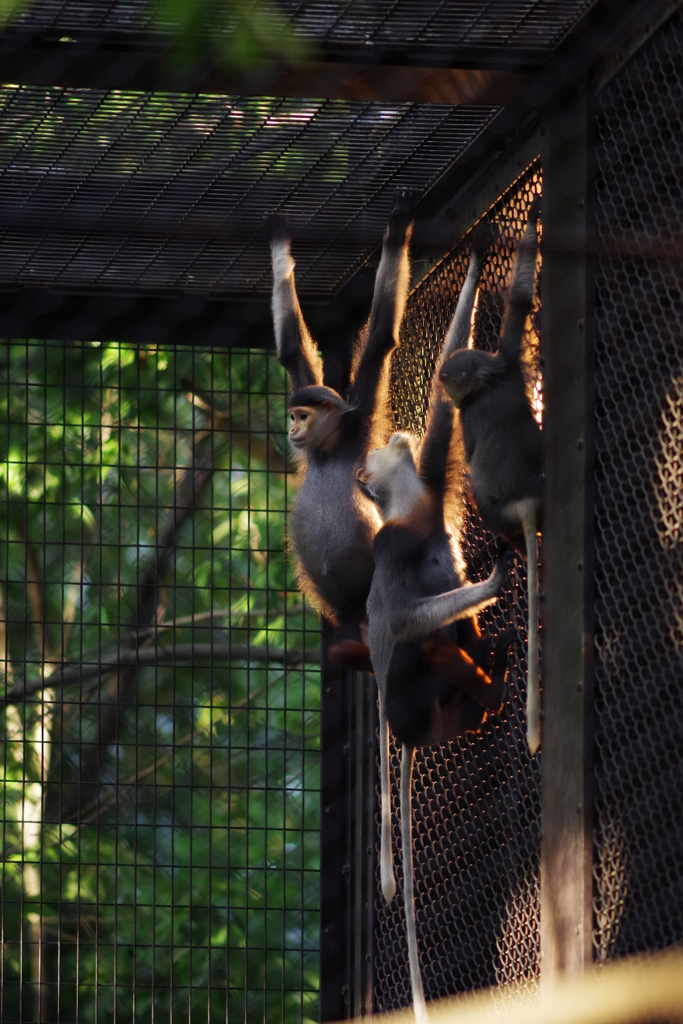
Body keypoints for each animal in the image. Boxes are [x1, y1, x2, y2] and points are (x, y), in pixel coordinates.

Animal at [268, 190, 413, 655]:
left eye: (302, 417)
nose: (292, 429)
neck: (329, 452)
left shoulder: (361, 418)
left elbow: (381, 338)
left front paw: (397, 232)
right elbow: (291, 350)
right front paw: (280, 245)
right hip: (348, 623)